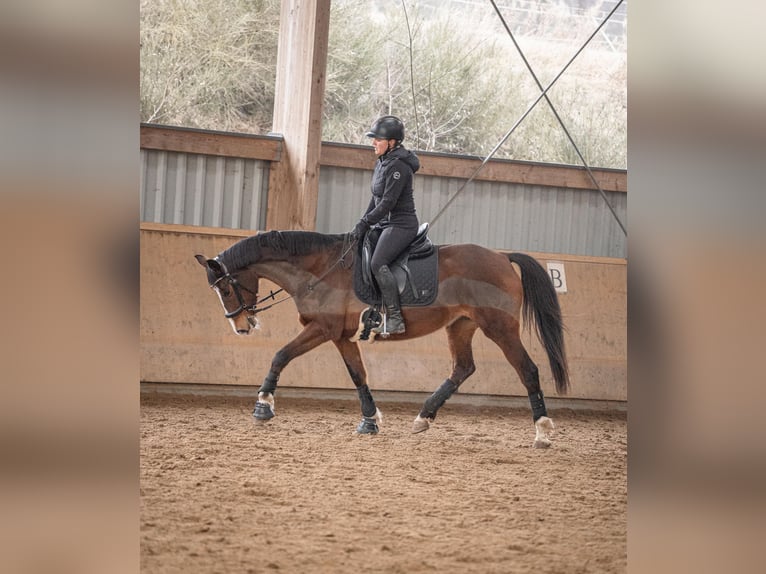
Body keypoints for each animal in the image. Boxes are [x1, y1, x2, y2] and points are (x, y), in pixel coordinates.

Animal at [195, 229, 569, 448]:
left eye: (225, 288)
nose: (241, 326)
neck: (319, 269)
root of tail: (502, 256)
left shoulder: (323, 329)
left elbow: (281, 355)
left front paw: (263, 405)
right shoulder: (342, 336)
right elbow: (358, 375)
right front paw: (370, 420)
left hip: (500, 327)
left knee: (528, 370)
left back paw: (542, 431)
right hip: (461, 325)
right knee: (462, 368)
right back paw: (423, 418)